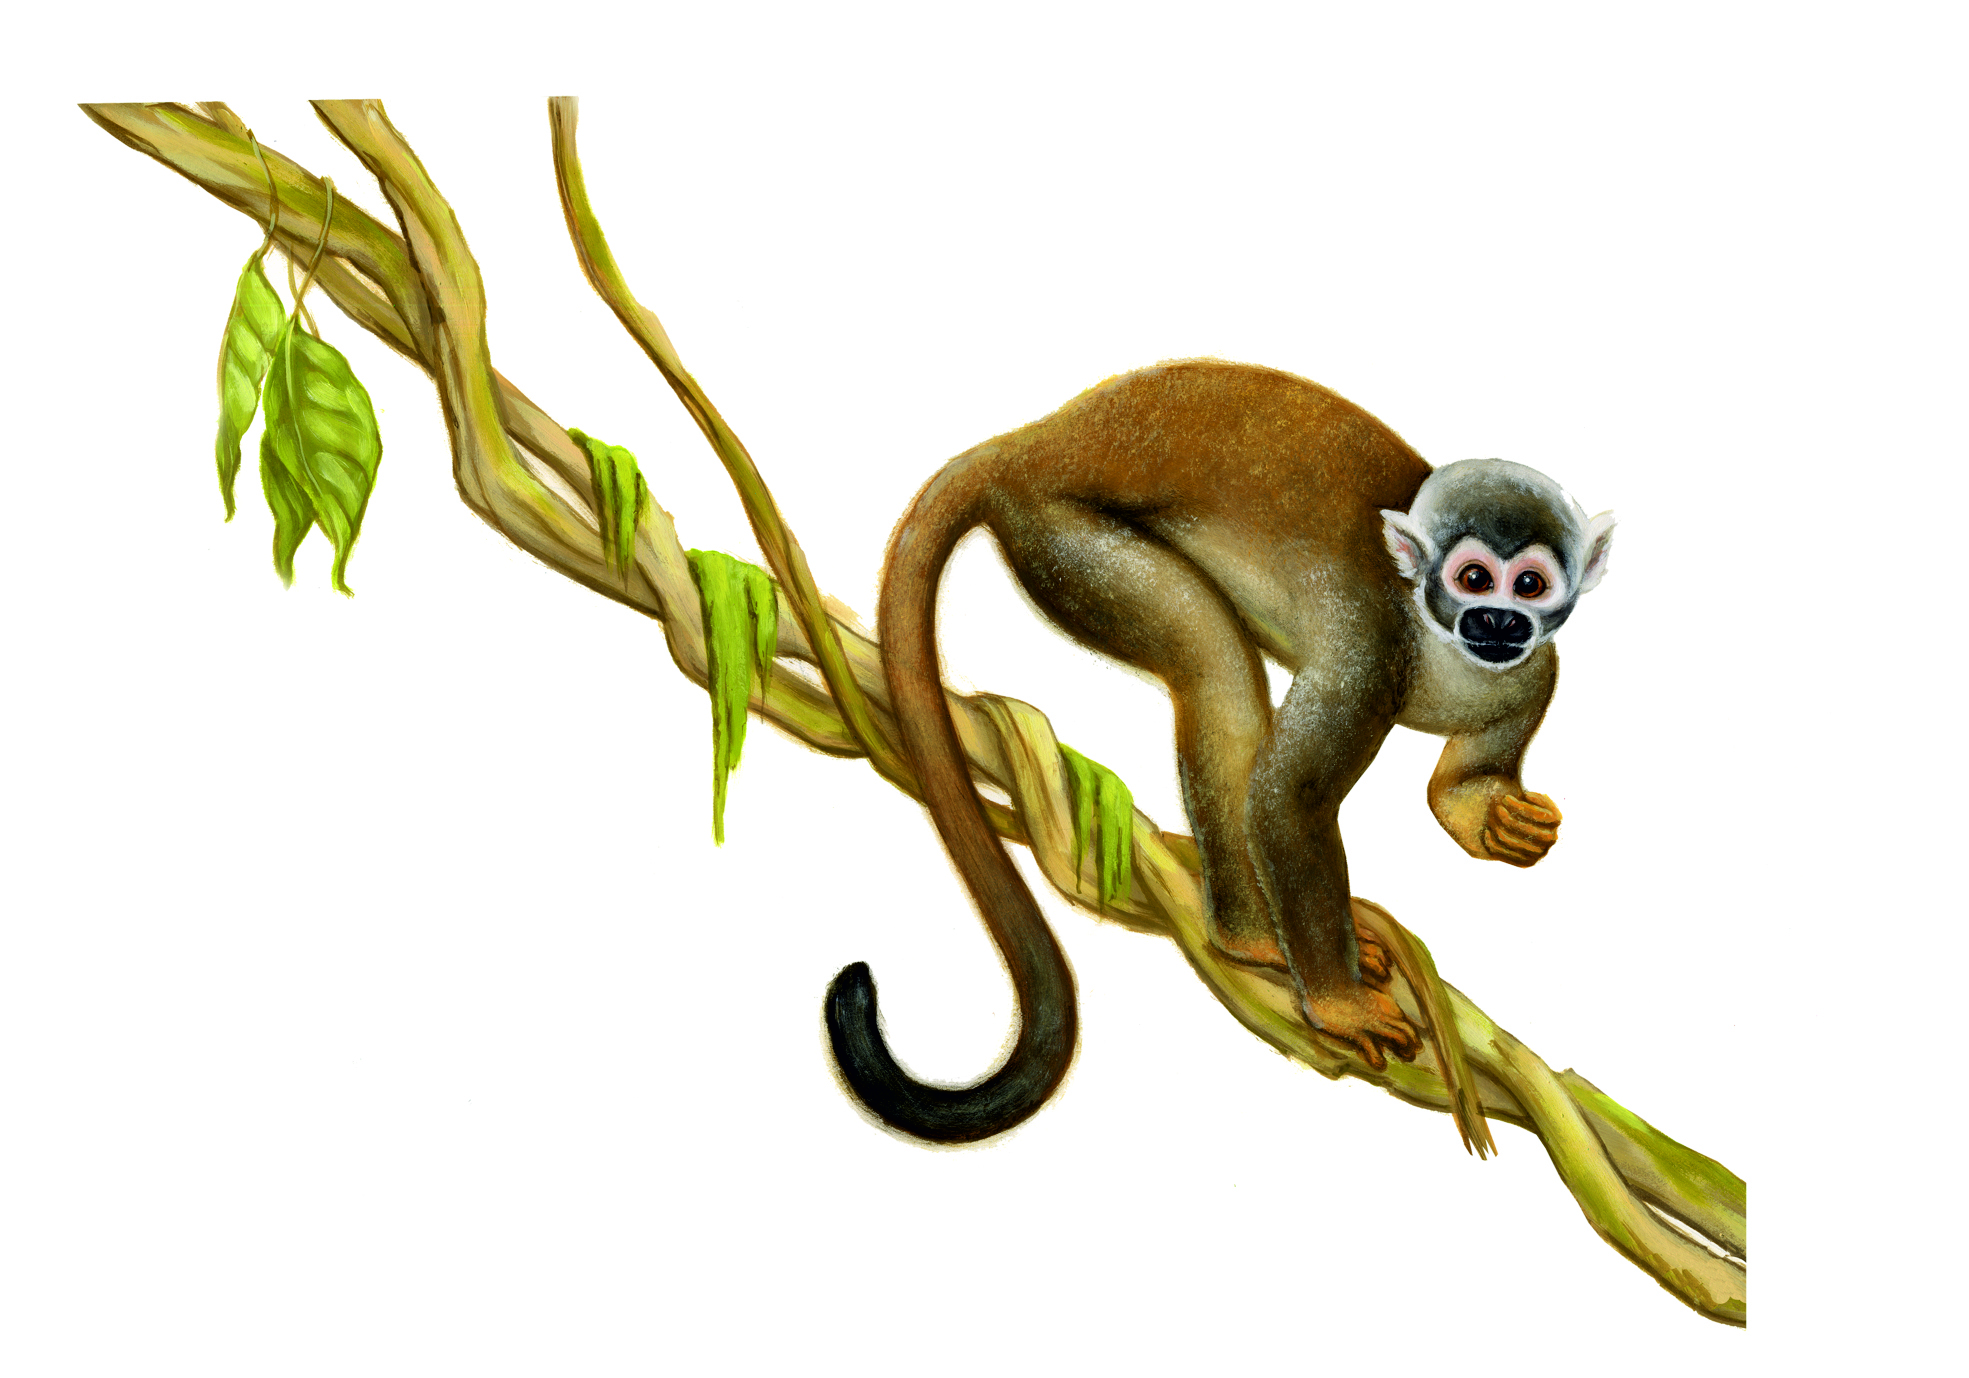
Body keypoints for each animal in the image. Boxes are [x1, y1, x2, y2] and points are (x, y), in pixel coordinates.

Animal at [824, 360, 1614, 1144]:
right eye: (1474, 578)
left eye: (1530, 584)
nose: (1497, 621)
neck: (1437, 640)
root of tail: (1037, 441)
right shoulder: (1367, 649)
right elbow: (1287, 796)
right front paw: (1338, 1004)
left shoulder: (1524, 666)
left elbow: (1508, 715)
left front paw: (1480, 810)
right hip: (1062, 539)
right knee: (1213, 662)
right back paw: (1254, 942)